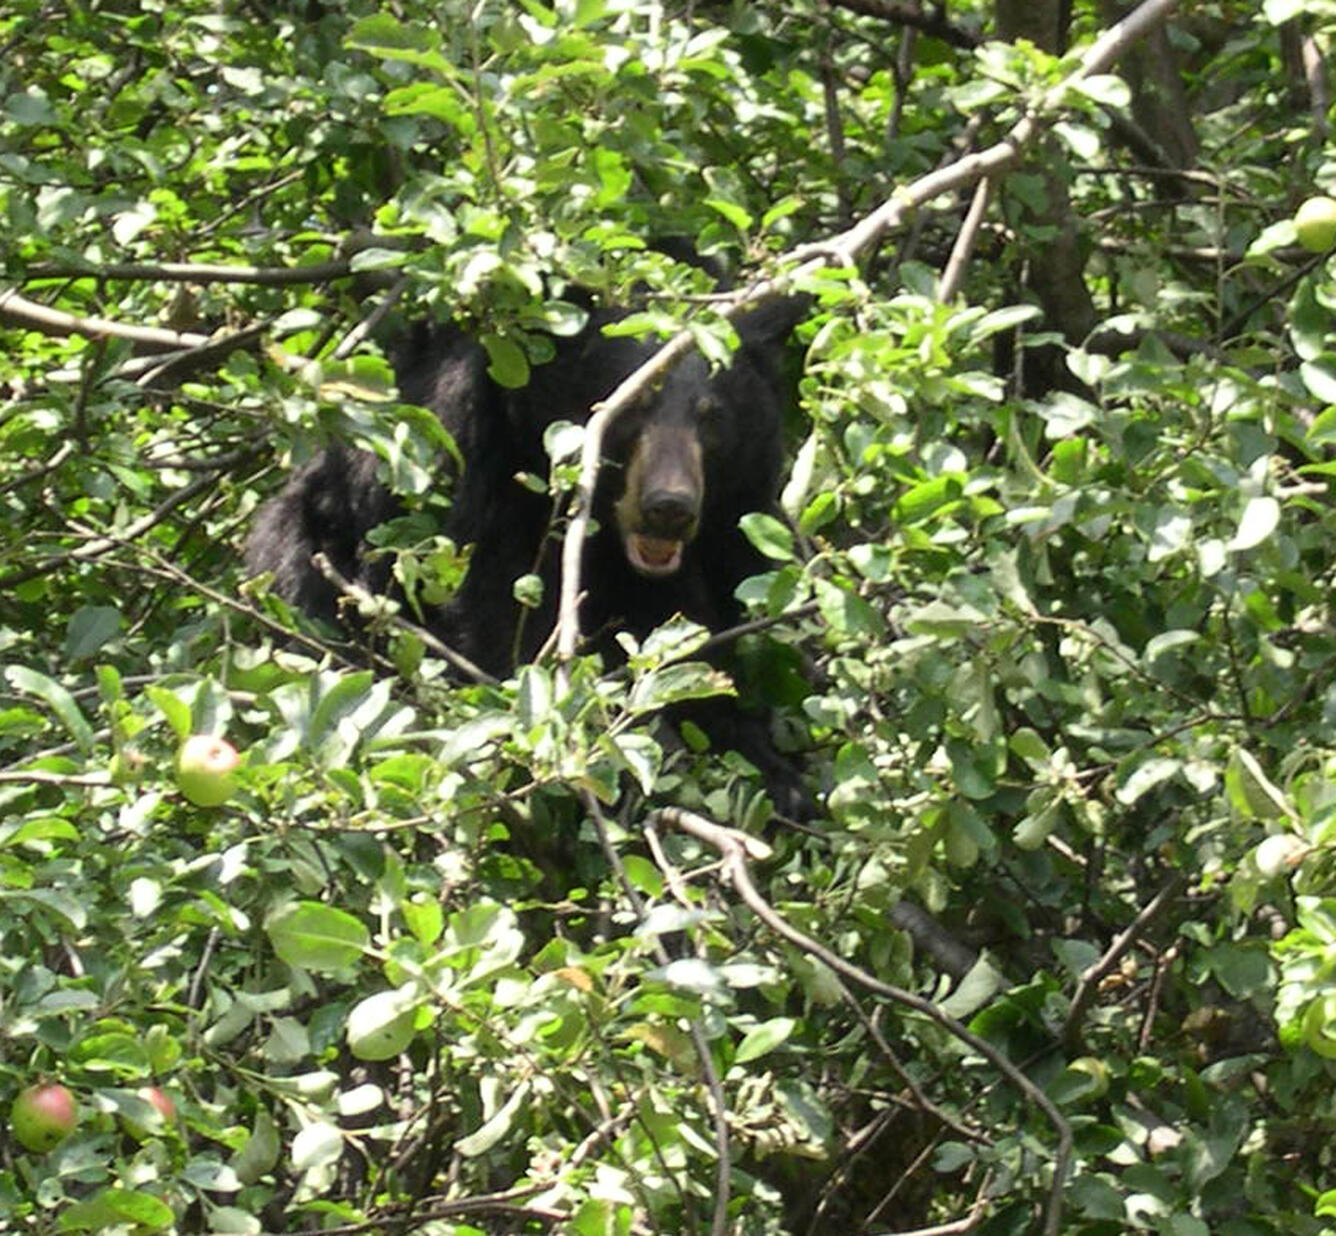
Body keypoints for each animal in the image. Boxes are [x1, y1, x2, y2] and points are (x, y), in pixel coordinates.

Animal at [249, 289, 806, 812]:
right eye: (632, 410)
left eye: (711, 419)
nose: (669, 506)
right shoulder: (471, 473)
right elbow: (494, 620)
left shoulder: (734, 519)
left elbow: (709, 636)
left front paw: (770, 766)